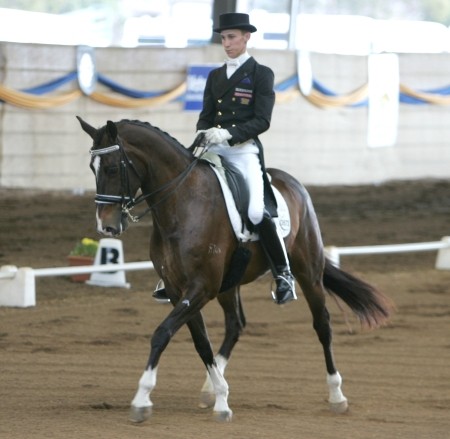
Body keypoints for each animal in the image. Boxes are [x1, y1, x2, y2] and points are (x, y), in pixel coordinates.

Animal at [78, 116, 394, 422]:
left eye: (111, 168)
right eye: (92, 168)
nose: (106, 226)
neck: (182, 206)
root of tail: (291, 182)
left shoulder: (201, 287)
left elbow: (162, 333)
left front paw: (141, 399)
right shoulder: (179, 288)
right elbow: (201, 342)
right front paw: (221, 398)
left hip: (308, 270)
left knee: (323, 324)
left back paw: (337, 395)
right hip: (229, 285)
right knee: (236, 324)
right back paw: (210, 388)